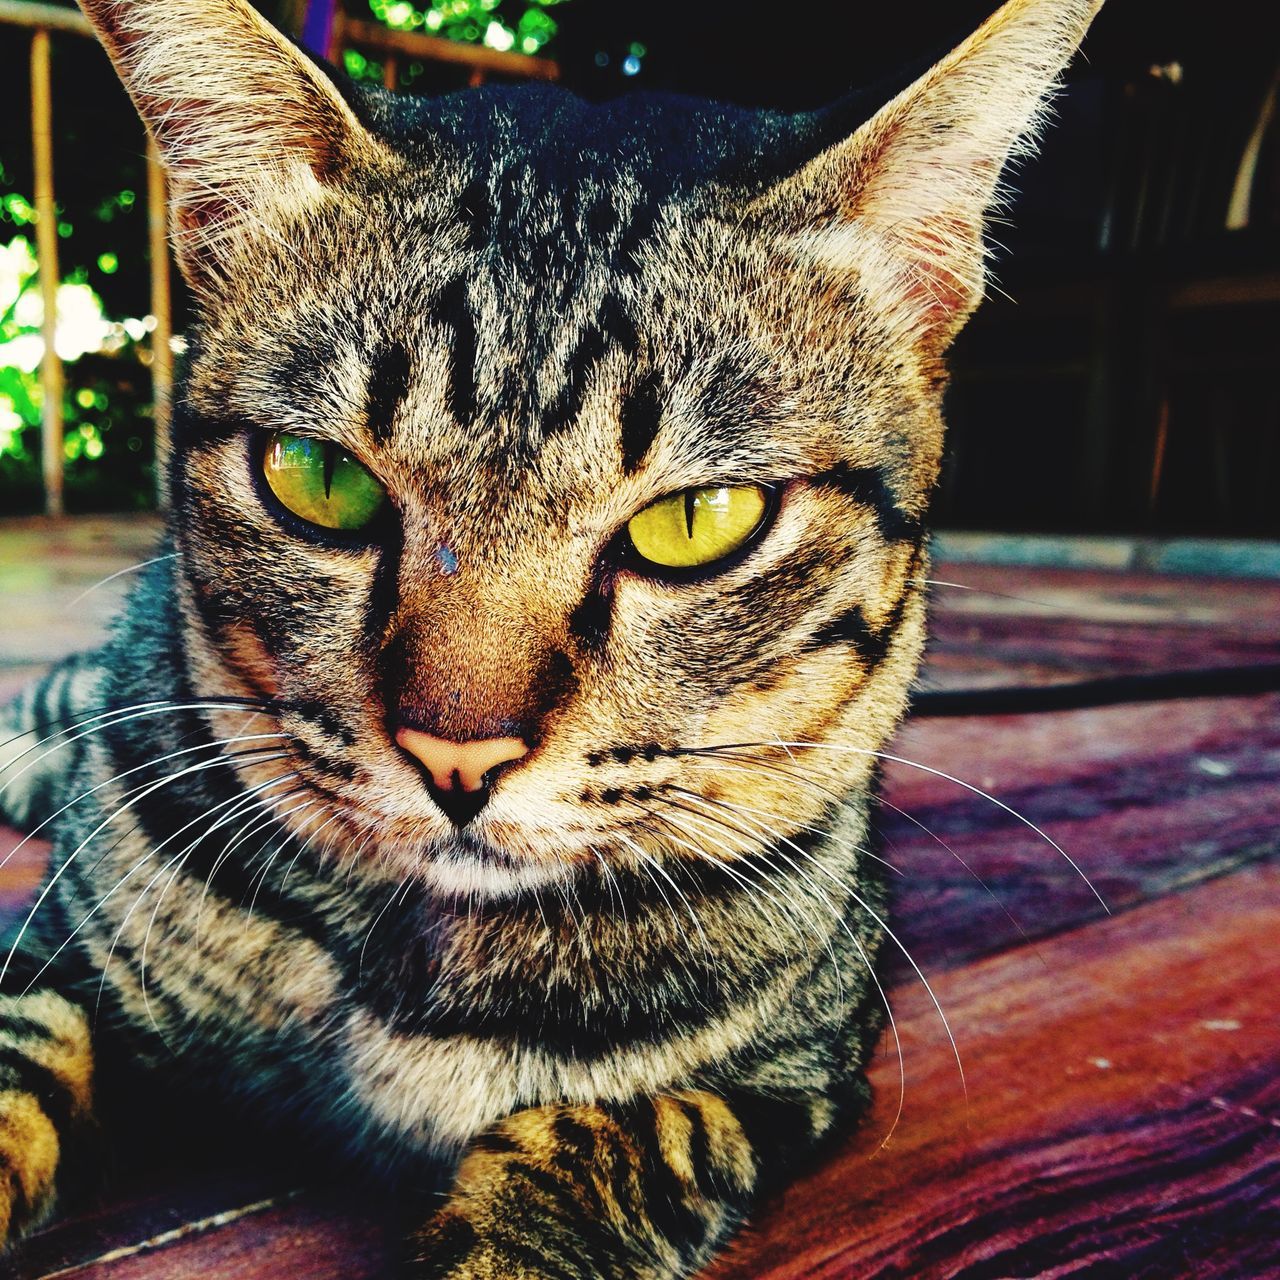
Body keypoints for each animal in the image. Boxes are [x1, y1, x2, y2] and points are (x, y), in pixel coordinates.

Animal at [0, 5, 1100, 1274]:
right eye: (318, 479)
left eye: (698, 520)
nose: (456, 756)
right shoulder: (60, 959)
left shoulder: (791, 1073)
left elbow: (616, 1138)